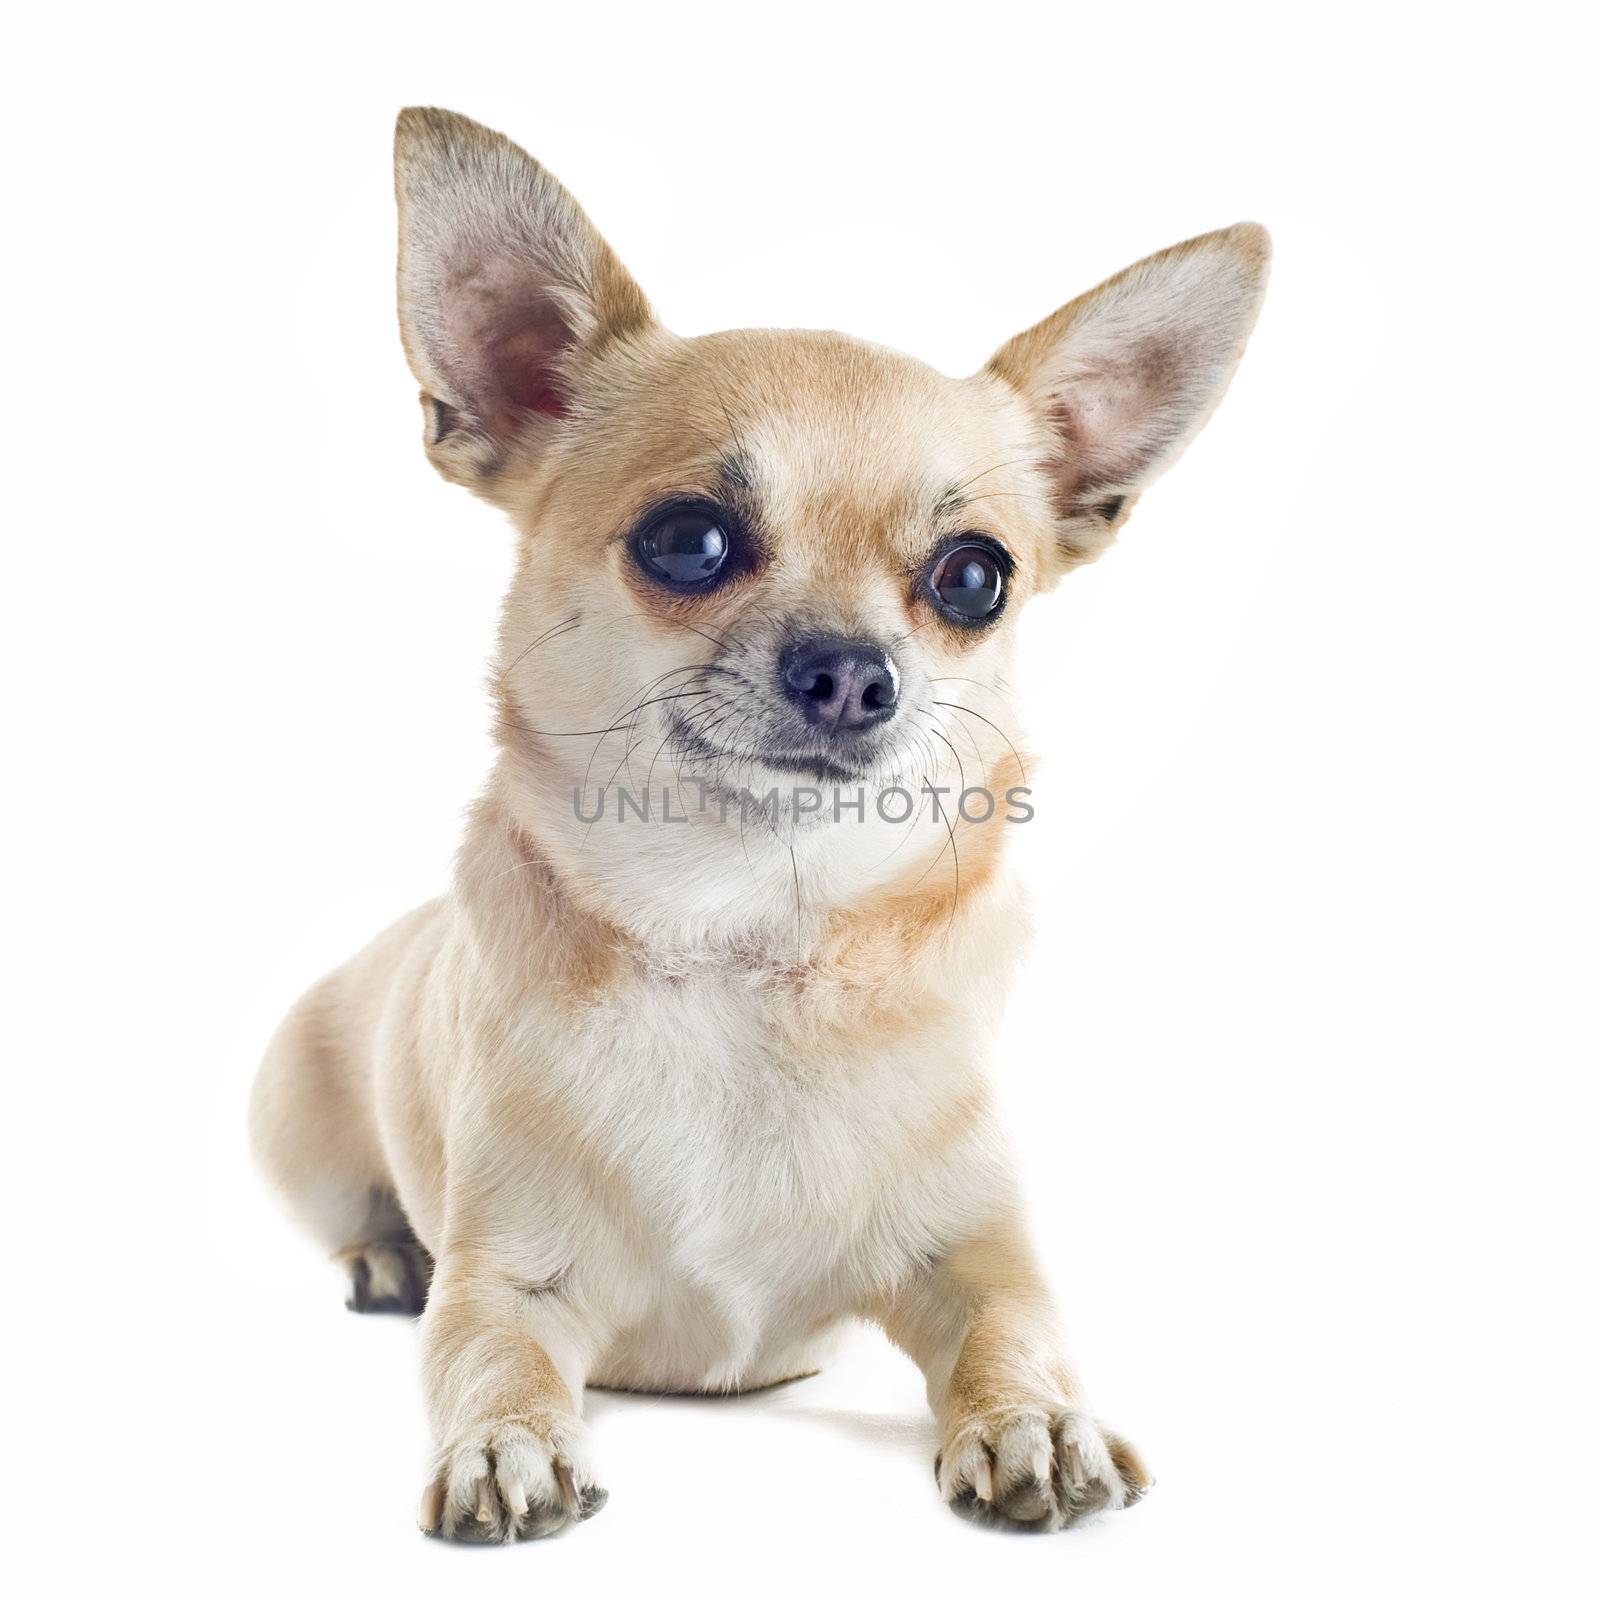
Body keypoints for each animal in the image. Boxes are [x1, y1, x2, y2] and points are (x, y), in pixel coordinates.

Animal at [249, 109, 1267, 1536]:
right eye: (688, 540)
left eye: (975, 576)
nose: (850, 671)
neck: (744, 945)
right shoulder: (503, 1278)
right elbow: (489, 1355)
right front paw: (505, 1444)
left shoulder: (979, 1257)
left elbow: (1020, 1329)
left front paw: (1033, 1419)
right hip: (295, 1116)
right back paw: (384, 1249)